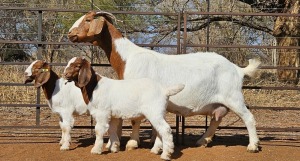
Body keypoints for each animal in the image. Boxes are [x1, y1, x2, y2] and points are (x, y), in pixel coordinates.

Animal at [67, 10, 260, 152]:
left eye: (88, 19)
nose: (70, 33)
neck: (128, 58)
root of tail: (237, 69)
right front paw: (153, 140)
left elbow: (135, 120)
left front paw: (132, 143)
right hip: (220, 101)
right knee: (216, 119)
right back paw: (202, 140)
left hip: (233, 96)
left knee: (249, 118)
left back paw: (252, 146)